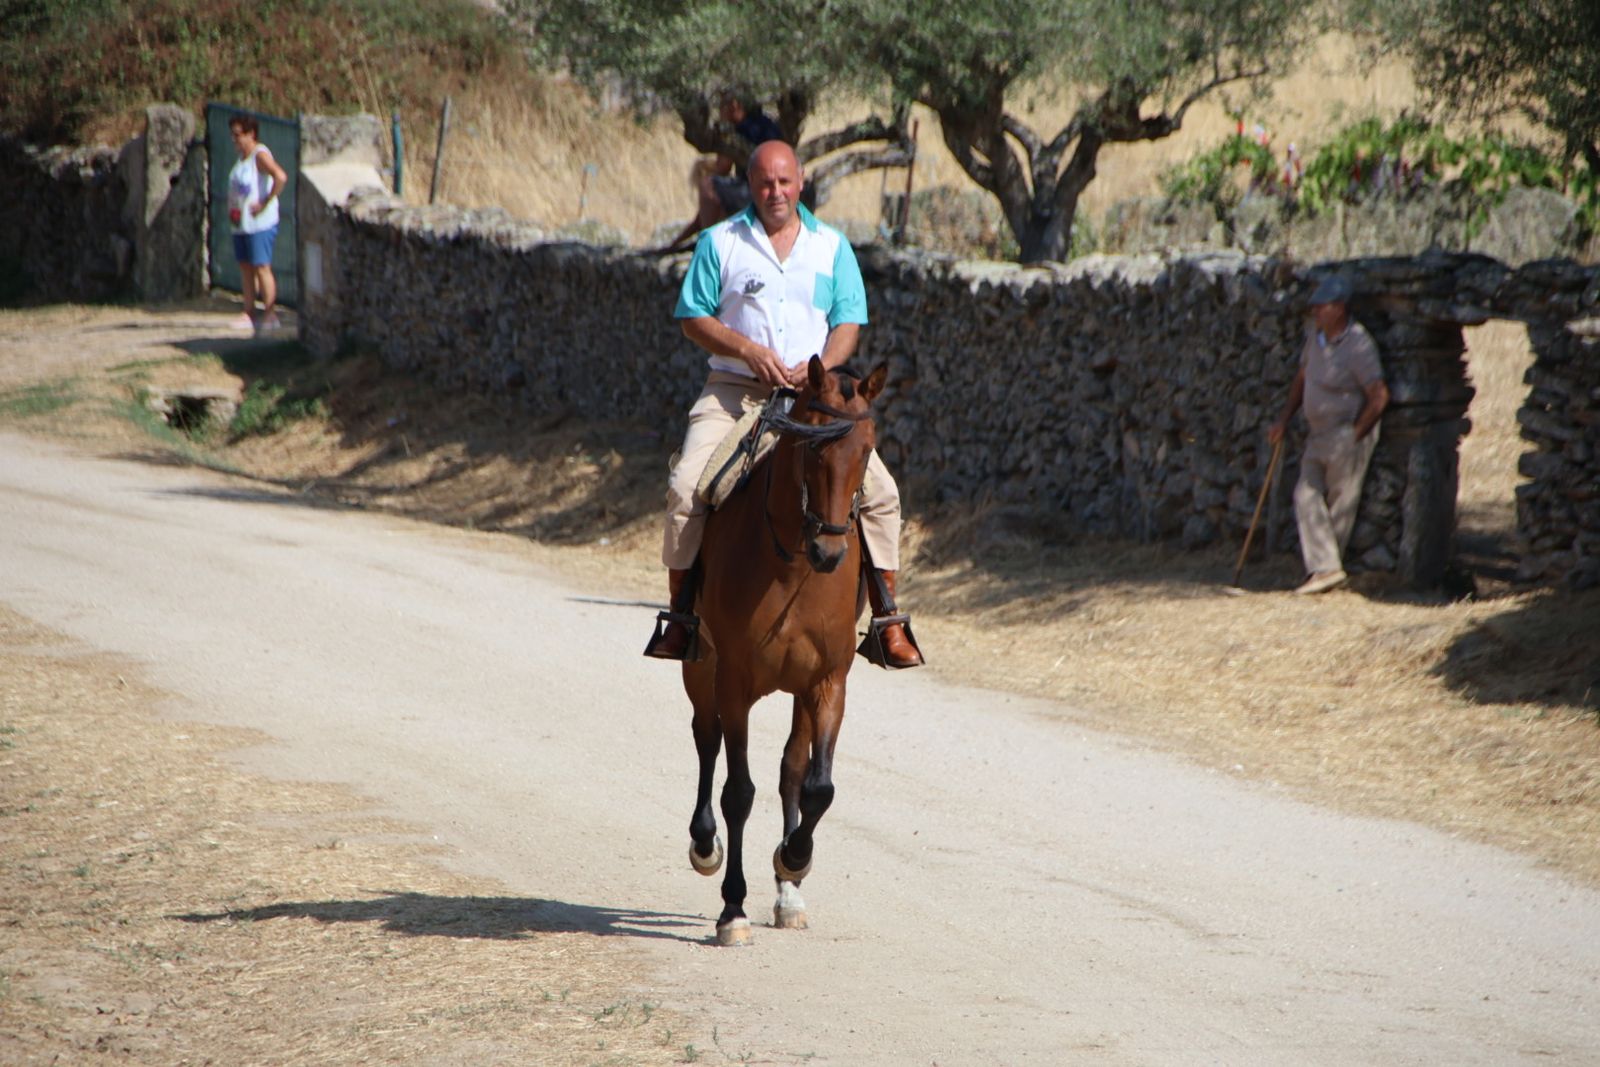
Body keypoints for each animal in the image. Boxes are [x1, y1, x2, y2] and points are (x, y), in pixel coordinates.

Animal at [682, 355, 888, 946]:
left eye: (867, 449)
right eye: (813, 448)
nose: (830, 551)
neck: (793, 561)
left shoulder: (828, 682)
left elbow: (817, 785)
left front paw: (794, 862)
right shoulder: (733, 681)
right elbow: (737, 791)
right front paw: (732, 909)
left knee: (792, 767)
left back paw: (788, 892)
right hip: (700, 666)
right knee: (706, 739)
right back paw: (703, 845)